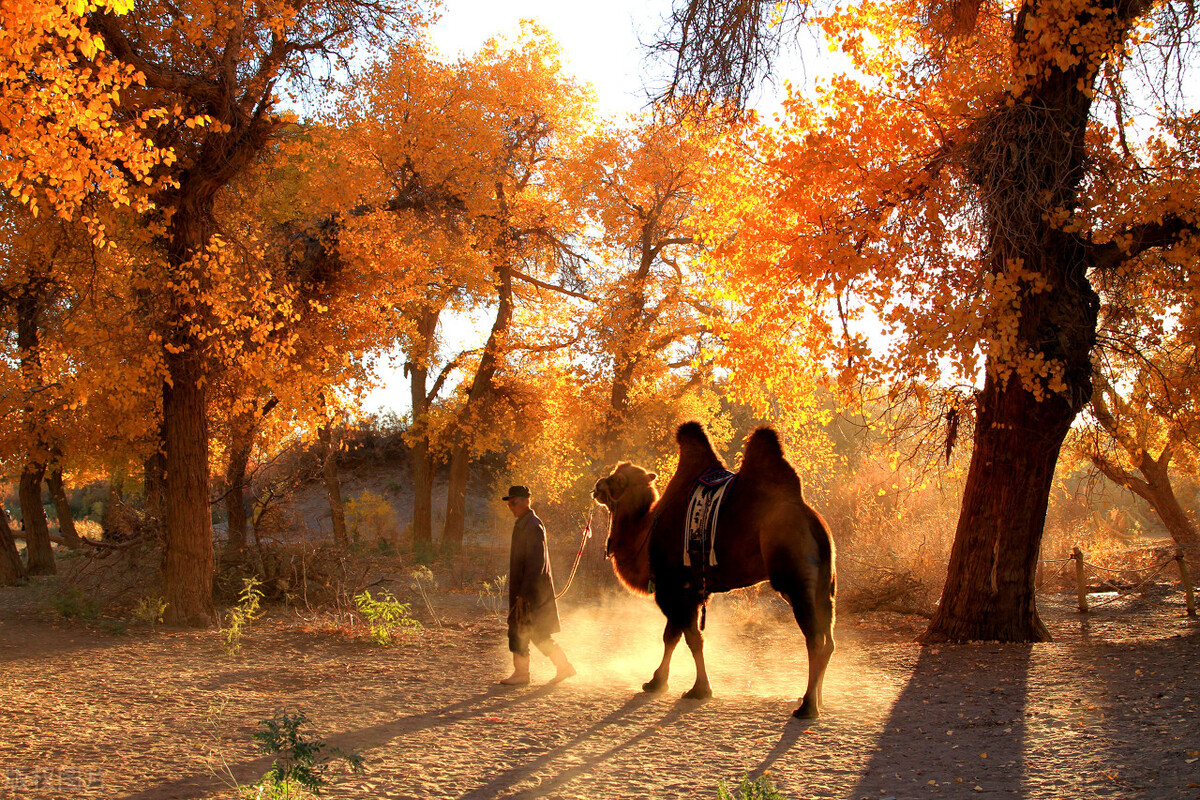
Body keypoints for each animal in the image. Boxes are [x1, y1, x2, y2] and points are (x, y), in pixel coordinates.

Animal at [595, 419, 840, 719]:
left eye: (616, 479)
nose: (596, 486)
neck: (646, 531)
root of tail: (813, 521)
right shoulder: (694, 590)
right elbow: (674, 636)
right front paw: (657, 682)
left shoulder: (673, 586)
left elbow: (689, 637)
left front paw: (698, 689)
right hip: (826, 583)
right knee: (828, 638)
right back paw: (816, 699)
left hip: (794, 577)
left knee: (815, 637)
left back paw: (807, 707)